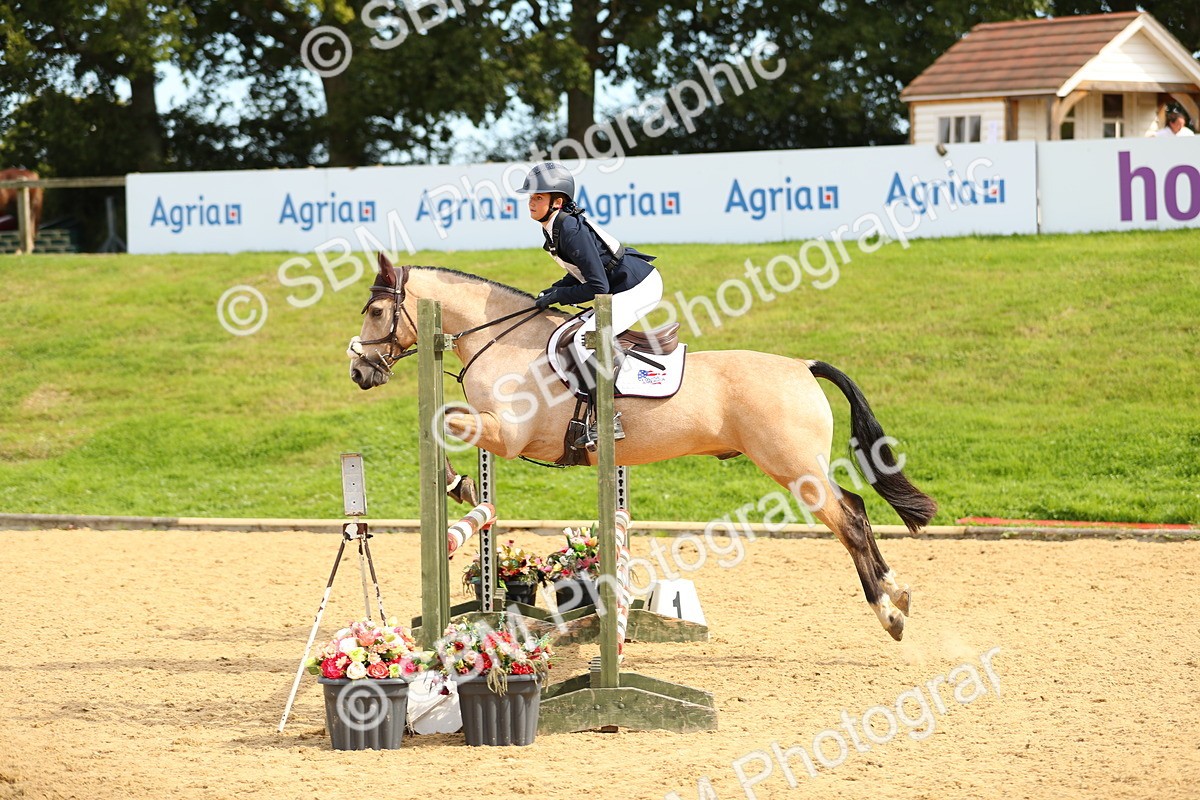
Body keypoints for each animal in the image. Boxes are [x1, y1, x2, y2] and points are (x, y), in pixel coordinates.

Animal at [349, 254, 937, 640]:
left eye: (375, 313)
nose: (359, 371)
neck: (503, 342)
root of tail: (801, 365)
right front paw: (465, 486)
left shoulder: (505, 433)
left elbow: (439, 420)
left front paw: (461, 484)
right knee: (855, 508)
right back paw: (899, 593)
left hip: (792, 467)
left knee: (850, 519)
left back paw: (891, 612)